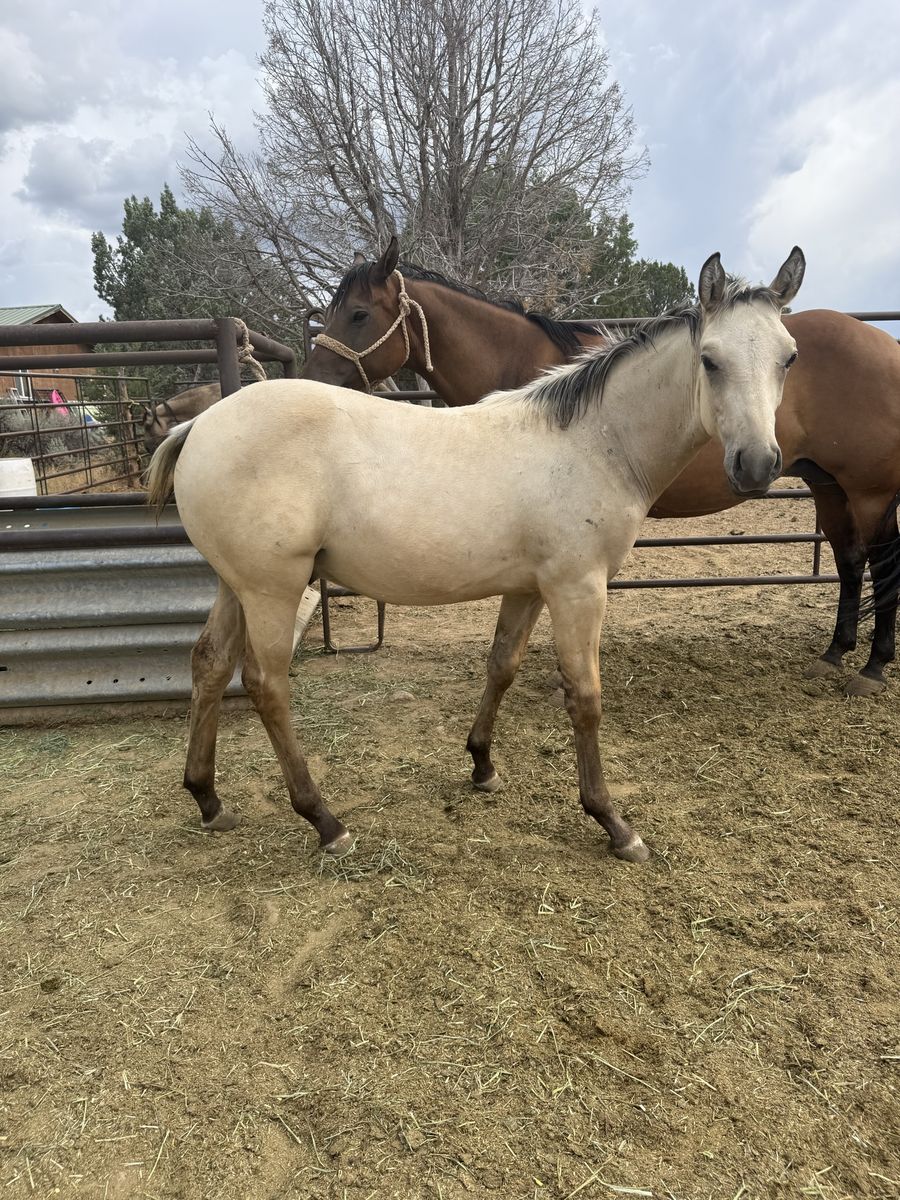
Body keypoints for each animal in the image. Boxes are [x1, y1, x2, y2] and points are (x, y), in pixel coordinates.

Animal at [146, 248, 804, 863]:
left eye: (788, 358)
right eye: (710, 359)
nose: (757, 465)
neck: (593, 442)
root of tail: (200, 425)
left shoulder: (529, 588)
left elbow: (501, 666)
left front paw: (482, 764)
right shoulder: (578, 589)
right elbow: (585, 697)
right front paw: (613, 823)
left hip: (235, 585)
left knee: (209, 664)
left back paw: (208, 798)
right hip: (271, 589)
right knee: (266, 685)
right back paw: (324, 821)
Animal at [304, 238, 900, 697]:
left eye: (358, 314)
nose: (311, 378)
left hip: (868, 490)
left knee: (883, 559)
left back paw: (872, 668)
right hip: (828, 484)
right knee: (849, 561)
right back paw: (834, 653)